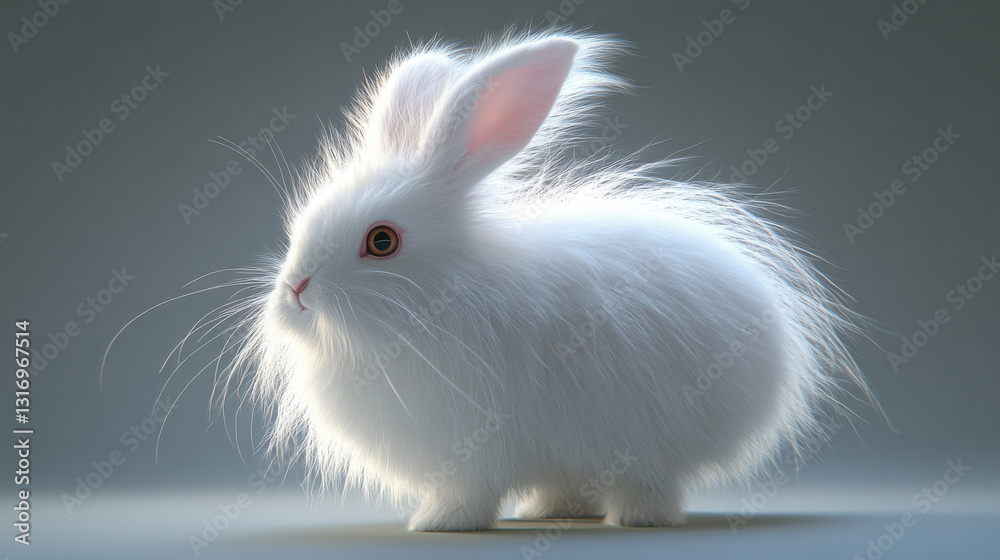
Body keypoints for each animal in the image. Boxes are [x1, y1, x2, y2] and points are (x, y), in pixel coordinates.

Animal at [229, 30, 881, 532]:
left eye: (382, 241)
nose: (296, 291)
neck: (442, 295)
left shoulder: (473, 450)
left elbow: (466, 496)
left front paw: (436, 525)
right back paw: (552, 510)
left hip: (653, 443)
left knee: (653, 484)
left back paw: (636, 519)